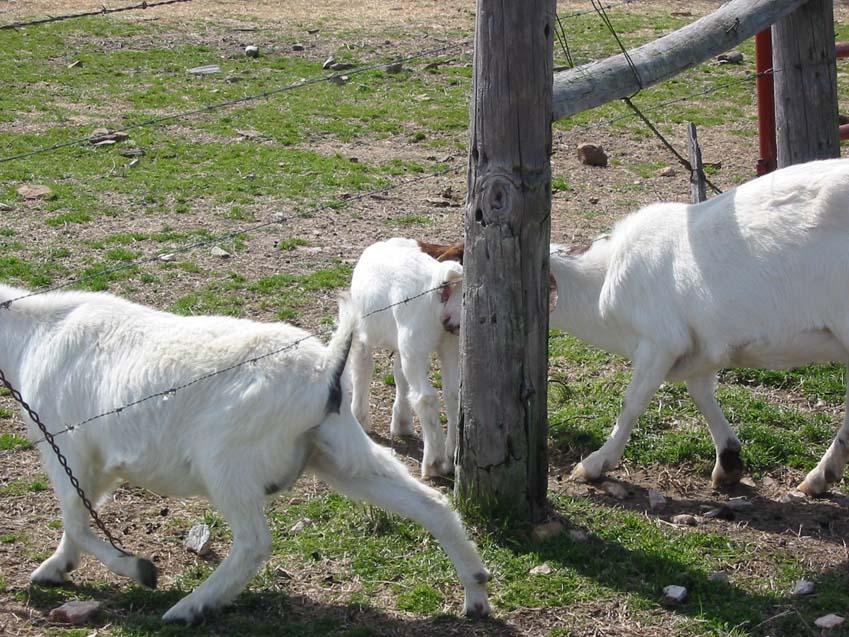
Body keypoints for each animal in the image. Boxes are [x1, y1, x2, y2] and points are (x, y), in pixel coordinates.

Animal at [0, 284, 490, 623]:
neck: (32, 337)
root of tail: (324, 368)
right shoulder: (91, 462)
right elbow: (80, 515)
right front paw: (55, 568)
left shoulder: (65, 446)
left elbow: (75, 518)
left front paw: (138, 569)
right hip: (340, 450)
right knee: (429, 503)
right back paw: (477, 593)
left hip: (225, 462)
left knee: (254, 543)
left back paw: (190, 607)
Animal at [349, 238, 463, 478]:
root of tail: (439, 279)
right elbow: (399, 376)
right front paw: (401, 423)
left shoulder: (362, 334)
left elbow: (362, 369)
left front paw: (360, 417)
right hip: (448, 341)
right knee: (451, 393)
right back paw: (451, 455)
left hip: (414, 343)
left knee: (426, 397)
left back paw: (433, 463)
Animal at [550, 157, 849, 495]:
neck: (603, 278)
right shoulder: (702, 346)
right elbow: (700, 393)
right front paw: (729, 462)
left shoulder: (660, 342)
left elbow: (633, 401)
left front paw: (594, 463)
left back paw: (820, 474)